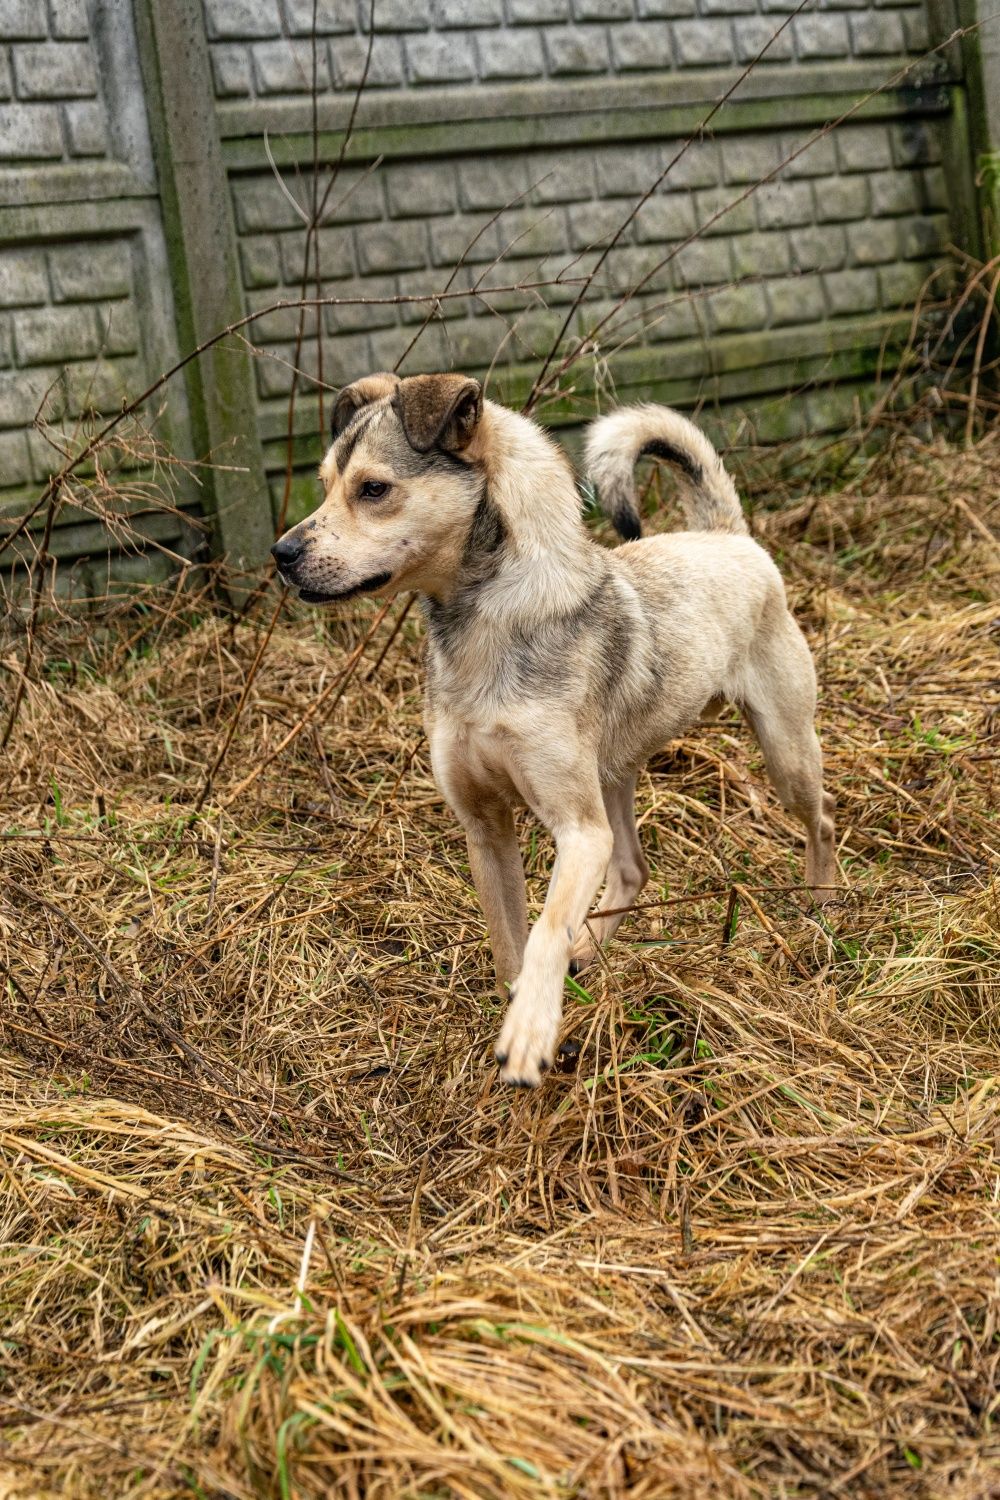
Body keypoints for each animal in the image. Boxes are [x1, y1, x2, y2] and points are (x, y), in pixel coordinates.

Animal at [271, 370, 839, 1086]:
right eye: (323, 484)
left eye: (373, 489)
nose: (281, 553)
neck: (486, 623)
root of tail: (730, 538)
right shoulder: (486, 830)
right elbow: (509, 942)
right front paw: (521, 1013)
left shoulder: (576, 831)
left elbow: (543, 928)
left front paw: (532, 1030)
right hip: (613, 779)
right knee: (632, 868)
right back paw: (588, 948)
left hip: (783, 752)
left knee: (821, 820)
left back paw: (821, 907)